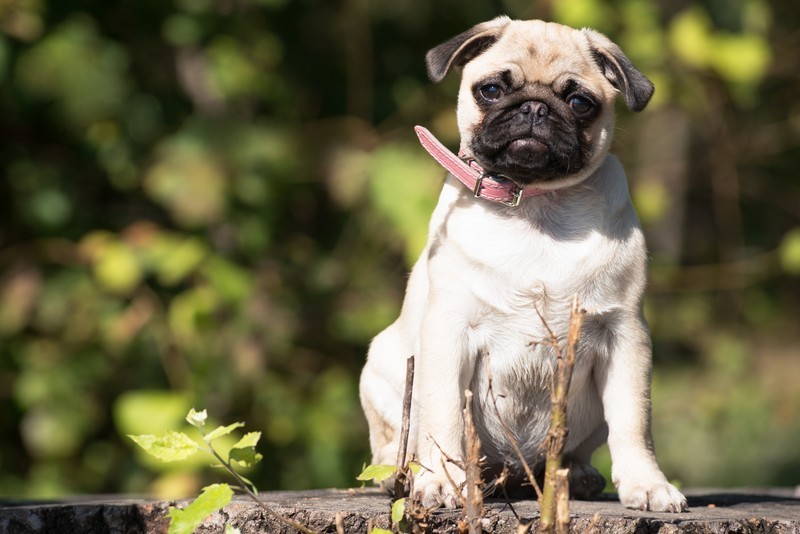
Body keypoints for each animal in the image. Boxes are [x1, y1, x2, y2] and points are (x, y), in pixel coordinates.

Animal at [358, 16, 688, 516]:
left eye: (579, 102)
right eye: (492, 90)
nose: (534, 108)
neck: (534, 205)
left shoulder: (625, 333)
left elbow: (634, 419)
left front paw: (647, 484)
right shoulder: (449, 330)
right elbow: (442, 412)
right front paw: (442, 482)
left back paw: (579, 474)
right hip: (382, 369)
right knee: (391, 445)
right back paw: (402, 476)